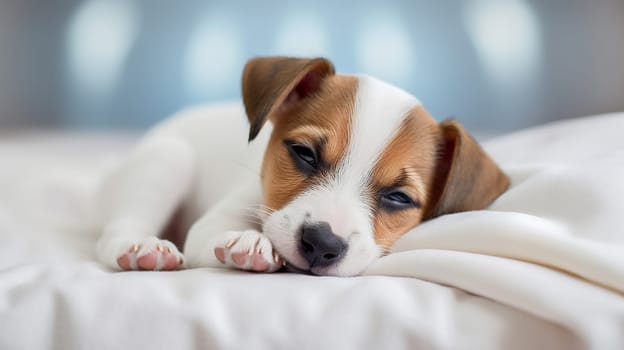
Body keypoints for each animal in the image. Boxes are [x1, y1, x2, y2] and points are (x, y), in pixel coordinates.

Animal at [95, 56, 510, 276]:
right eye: (304, 153)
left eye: (398, 197)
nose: (322, 244)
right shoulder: (213, 222)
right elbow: (215, 233)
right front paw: (249, 241)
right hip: (166, 161)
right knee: (115, 232)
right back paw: (143, 248)